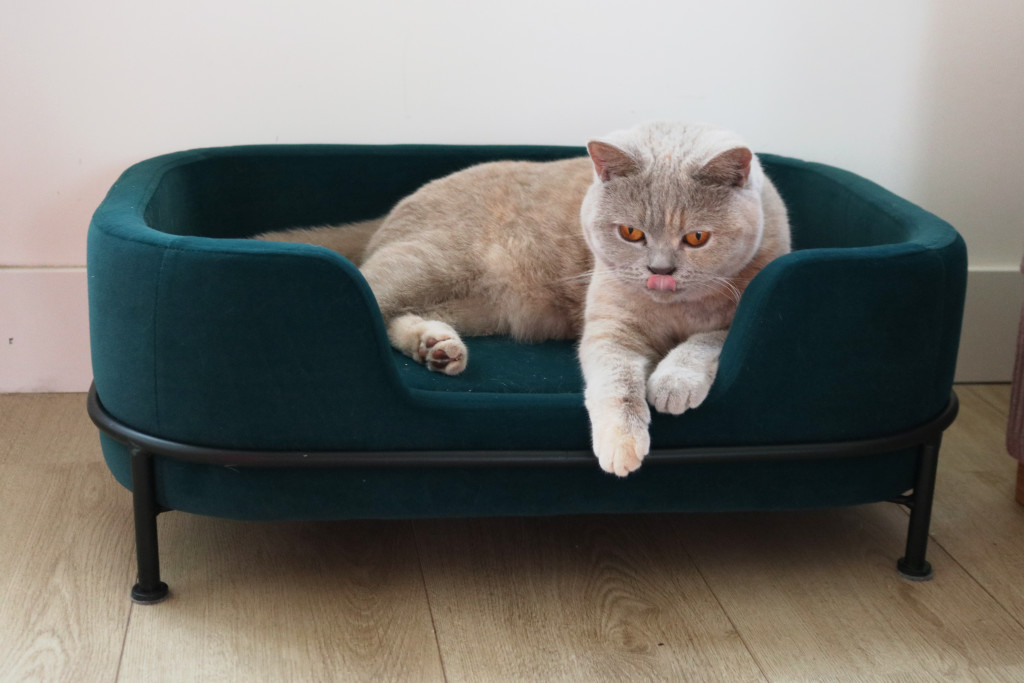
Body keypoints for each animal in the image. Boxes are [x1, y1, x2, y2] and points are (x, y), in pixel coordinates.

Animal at [256, 122, 790, 475]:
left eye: (696, 238)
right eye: (631, 233)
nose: (660, 271)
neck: (675, 310)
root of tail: (392, 211)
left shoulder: (741, 305)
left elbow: (710, 339)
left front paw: (673, 381)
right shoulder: (610, 327)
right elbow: (616, 383)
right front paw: (622, 444)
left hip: (478, 305)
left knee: (392, 317)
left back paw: (437, 348)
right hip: (426, 264)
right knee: (365, 290)